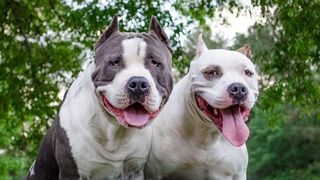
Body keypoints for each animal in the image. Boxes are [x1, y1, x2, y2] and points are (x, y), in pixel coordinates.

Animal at [26, 15, 172, 179]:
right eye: (115, 62)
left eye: (155, 63)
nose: (138, 84)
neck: (114, 132)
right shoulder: (71, 172)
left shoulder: (135, 170)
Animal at [146, 34, 258, 179]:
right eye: (212, 72)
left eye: (248, 73)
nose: (238, 88)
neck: (205, 135)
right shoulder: (154, 174)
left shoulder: (238, 174)